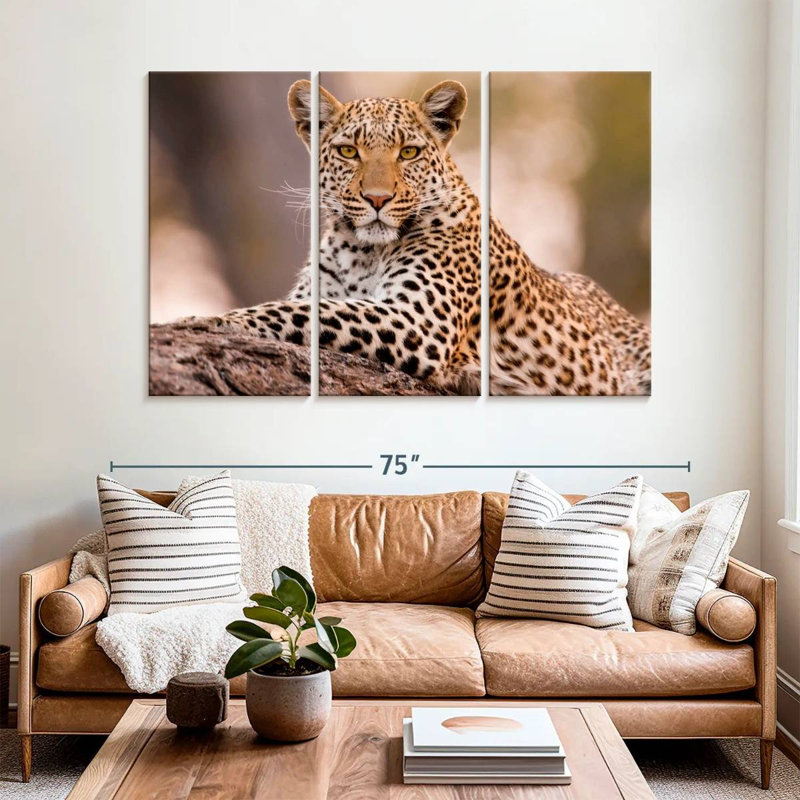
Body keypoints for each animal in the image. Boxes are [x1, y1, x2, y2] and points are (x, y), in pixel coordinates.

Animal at [169, 79, 650, 396]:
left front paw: (206, 320)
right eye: (349, 151)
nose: (377, 199)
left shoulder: (421, 320)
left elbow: (304, 312)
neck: (360, 251)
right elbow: (307, 304)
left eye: (409, 152)